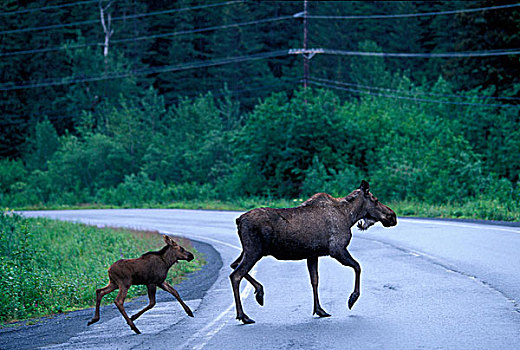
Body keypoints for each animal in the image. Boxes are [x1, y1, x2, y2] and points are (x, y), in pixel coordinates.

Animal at [230, 182, 396, 324]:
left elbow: (315, 280)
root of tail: (239, 220)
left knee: (233, 265)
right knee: (235, 275)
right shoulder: (337, 249)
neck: (350, 216)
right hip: (254, 250)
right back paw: (243, 315)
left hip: (248, 250)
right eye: (375, 199)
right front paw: (352, 299)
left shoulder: (312, 254)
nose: (392, 216)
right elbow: (357, 267)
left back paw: (259, 292)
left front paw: (319, 310)